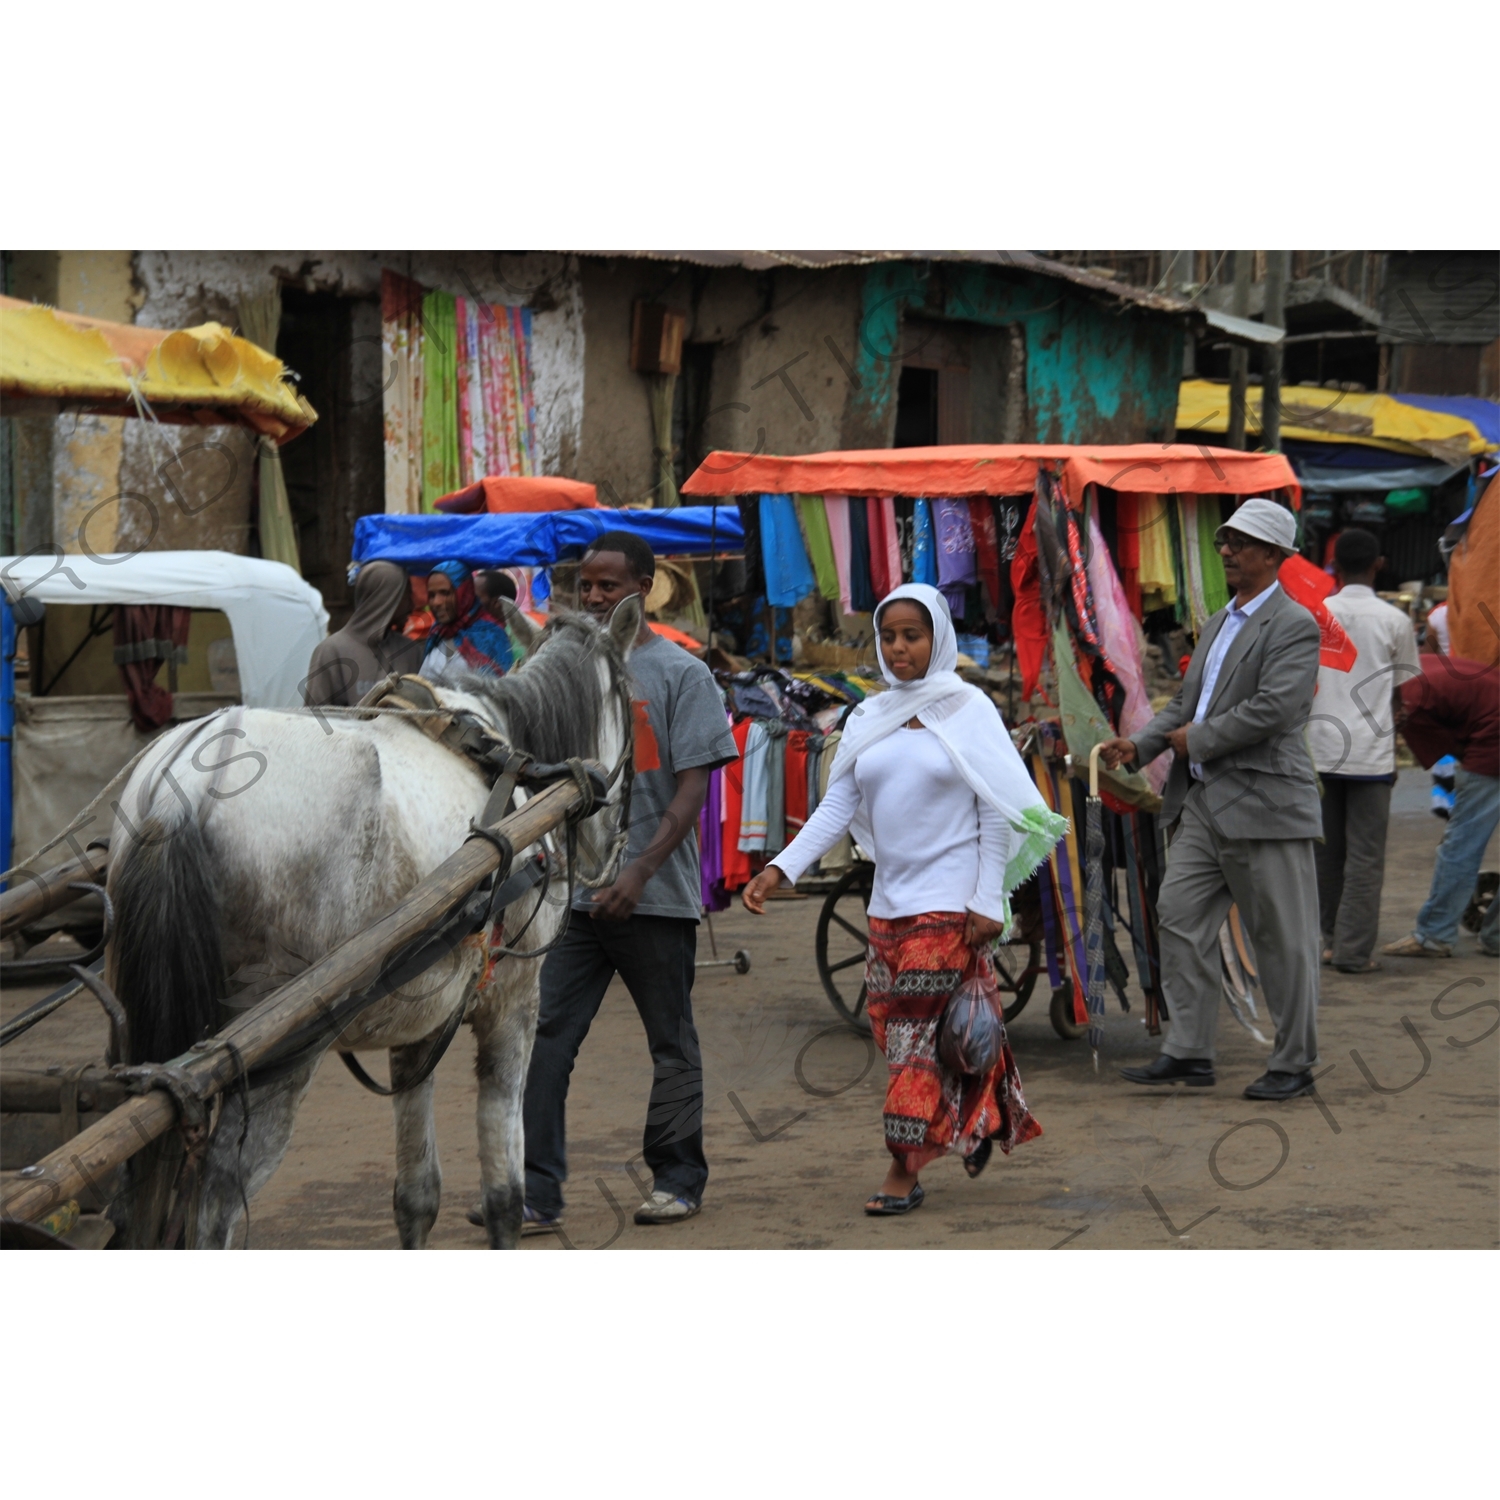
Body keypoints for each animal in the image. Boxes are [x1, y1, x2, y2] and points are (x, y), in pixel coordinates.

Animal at [105, 603, 639, 1248]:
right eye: (633, 707)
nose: (614, 853)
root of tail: (183, 790)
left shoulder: (422, 1017)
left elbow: (417, 1197)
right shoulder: (512, 1001)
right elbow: (504, 1197)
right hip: (274, 1048)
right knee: (214, 1210)